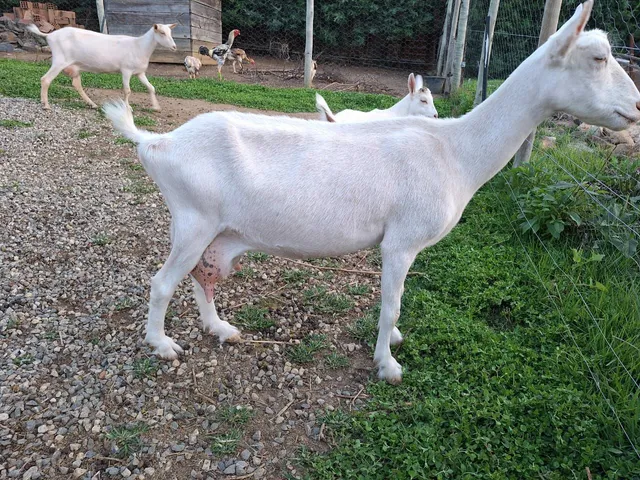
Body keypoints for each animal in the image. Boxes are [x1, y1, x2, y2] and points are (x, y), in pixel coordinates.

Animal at [26, 23, 177, 111]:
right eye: (162, 33)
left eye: (170, 32)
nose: (174, 47)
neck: (139, 46)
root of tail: (50, 35)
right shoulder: (126, 70)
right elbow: (127, 90)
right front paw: (128, 107)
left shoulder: (140, 72)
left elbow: (151, 87)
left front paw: (156, 107)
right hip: (59, 61)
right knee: (45, 79)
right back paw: (45, 105)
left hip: (74, 66)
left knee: (76, 85)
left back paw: (92, 104)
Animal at [104, 0, 640, 384]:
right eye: (598, 58)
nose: (635, 106)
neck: (455, 150)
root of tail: (155, 142)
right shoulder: (400, 242)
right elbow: (391, 304)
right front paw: (388, 365)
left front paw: (394, 343)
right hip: (193, 218)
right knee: (162, 283)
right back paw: (163, 345)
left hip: (215, 230)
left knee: (201, 276)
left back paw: (220, 329)